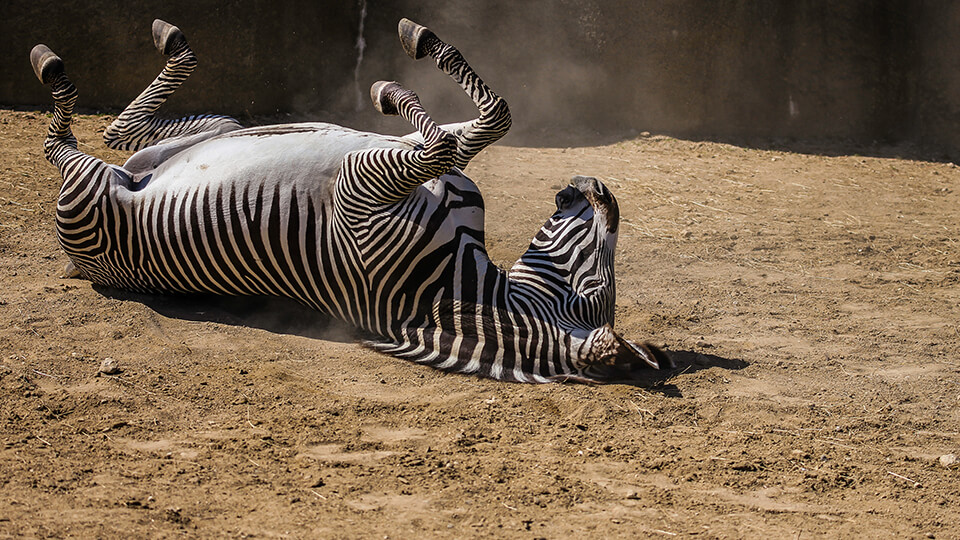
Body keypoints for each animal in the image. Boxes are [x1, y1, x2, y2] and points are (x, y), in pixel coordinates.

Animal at [30, 18, 673, 383]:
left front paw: (395, 80)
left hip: (88, 190)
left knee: (69, 138)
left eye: (596, 288)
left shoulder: (364, 188)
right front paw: (395, 85)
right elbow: (477, 127)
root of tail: (79, 266)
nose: (594, 186)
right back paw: (162, 41)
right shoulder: (410, 172)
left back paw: (54, 65)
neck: (447, 289)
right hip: (207, 134)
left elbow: (469, 128)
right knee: (122, 133)